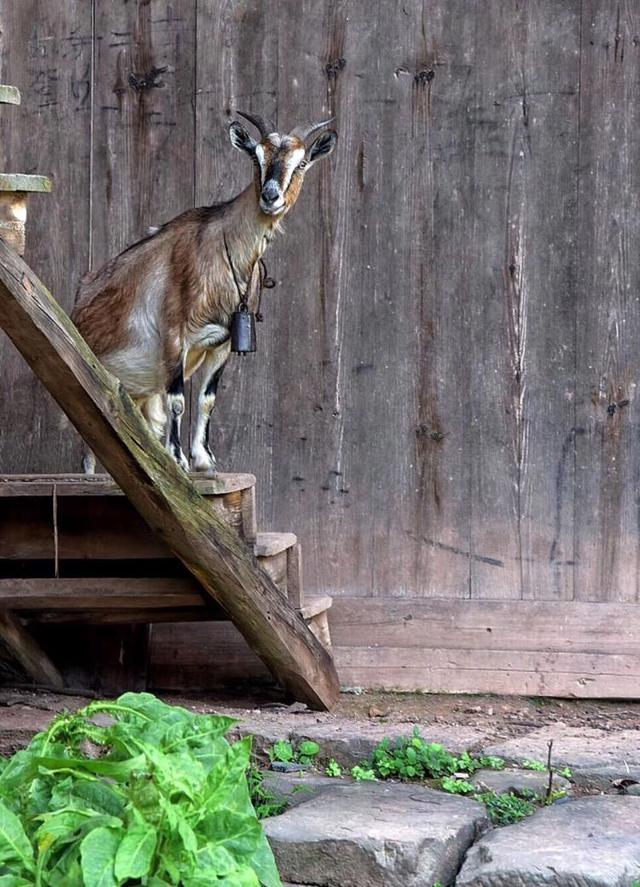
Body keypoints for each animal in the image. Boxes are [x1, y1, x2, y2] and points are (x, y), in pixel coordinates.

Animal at [72, 111, 338, 476]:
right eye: (256, 157)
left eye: (300, 164)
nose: (270, 197)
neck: (220, 251)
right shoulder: (174, 336)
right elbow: (178, 401)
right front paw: (178, 459)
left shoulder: (222, 344)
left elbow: (207, 400)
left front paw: (204, 460)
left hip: (139, 392)